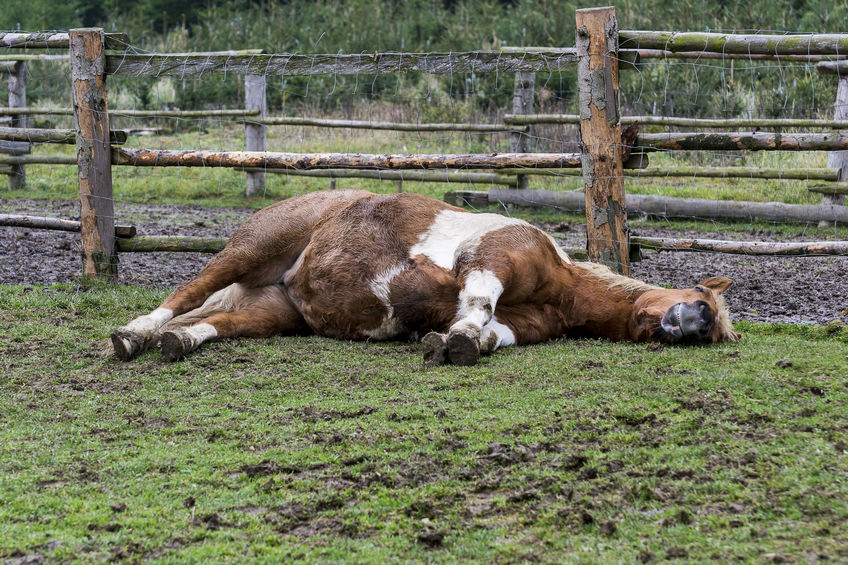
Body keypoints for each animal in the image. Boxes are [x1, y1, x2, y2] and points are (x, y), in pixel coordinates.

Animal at [111, 190, 739, 366]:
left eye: (712, 329)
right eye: (702, 297)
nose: (693, 321)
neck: (562, 286)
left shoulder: (523, 324)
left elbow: (493, 333)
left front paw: (459, 342)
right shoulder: (493, 257)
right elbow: (479, 304)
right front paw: (456, 337)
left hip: (271, 312)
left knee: (213, 322)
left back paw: (177, 342)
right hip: (248, 251)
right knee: (182, 295)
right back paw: (134, 335)